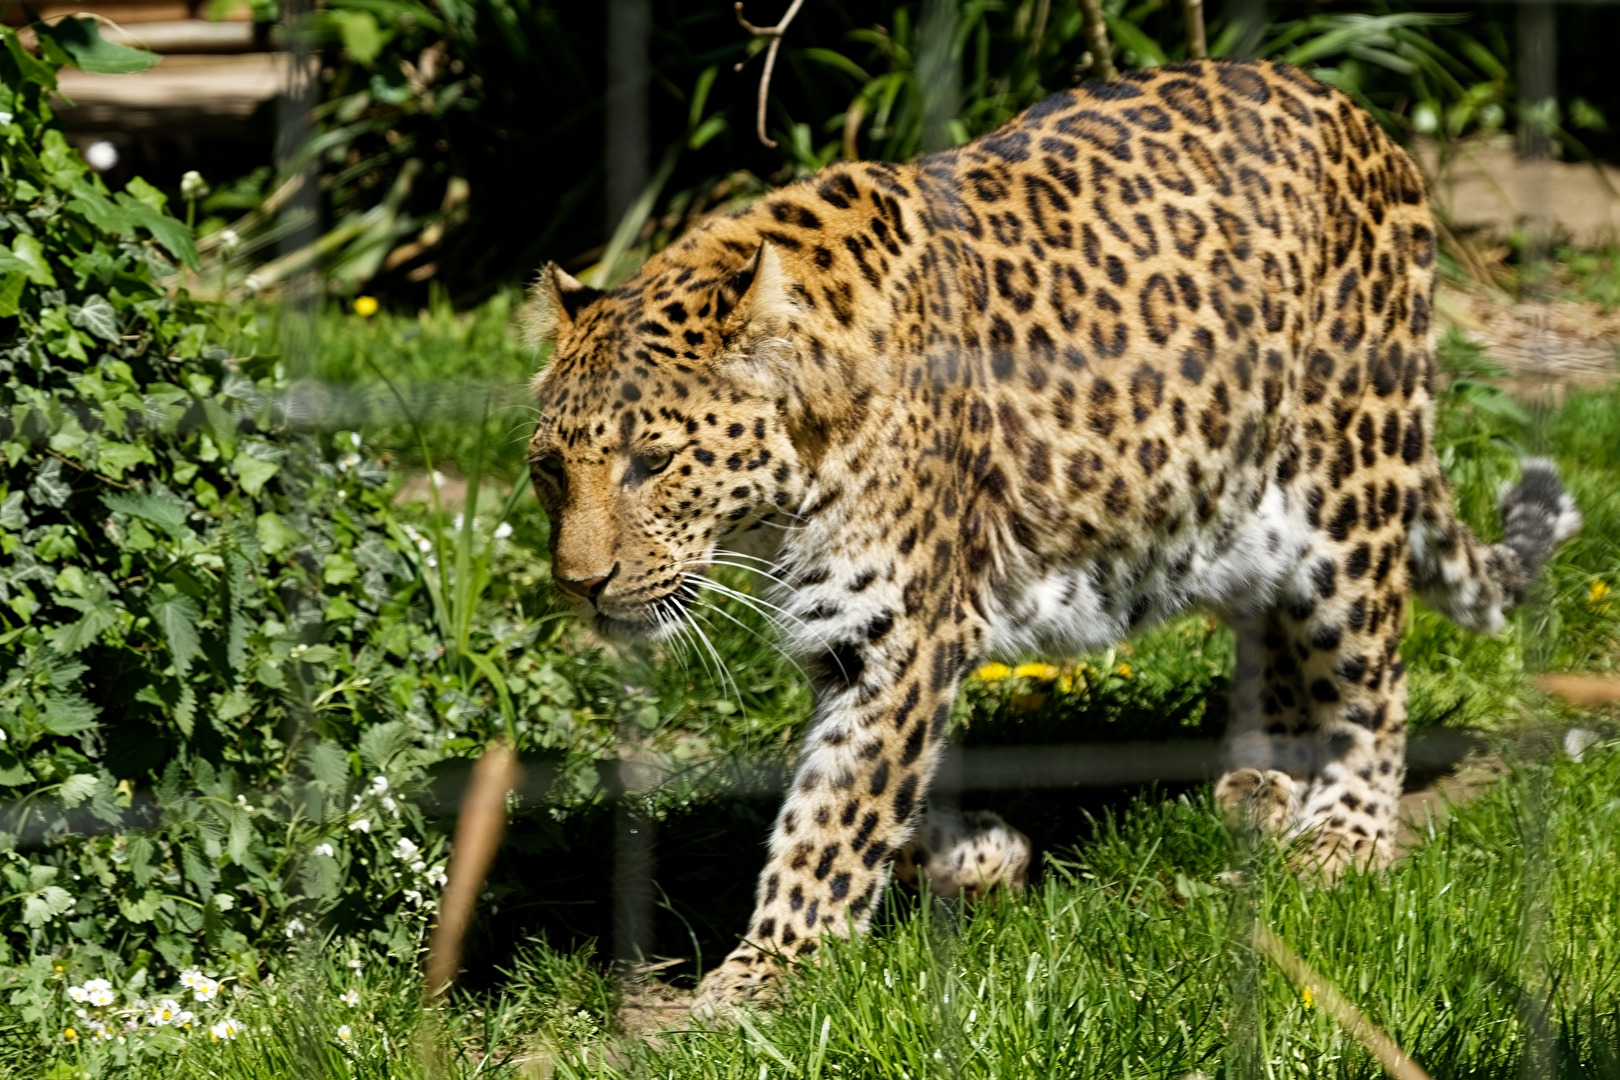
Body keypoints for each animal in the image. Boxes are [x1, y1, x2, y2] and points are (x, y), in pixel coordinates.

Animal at [523, 58, 1580, 1011]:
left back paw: (1347, 833)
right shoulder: (856, 642)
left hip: (1351, 471)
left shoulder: (899, 632)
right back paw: (1263, 780)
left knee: (1372, 671)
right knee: (1279, 623)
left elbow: (836, 816)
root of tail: (1360, 118)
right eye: (548, 471)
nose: (581, 584)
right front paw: (981, 852)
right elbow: (863, 792)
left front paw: (765, 975)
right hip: (1243, 489)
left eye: (652, 462)